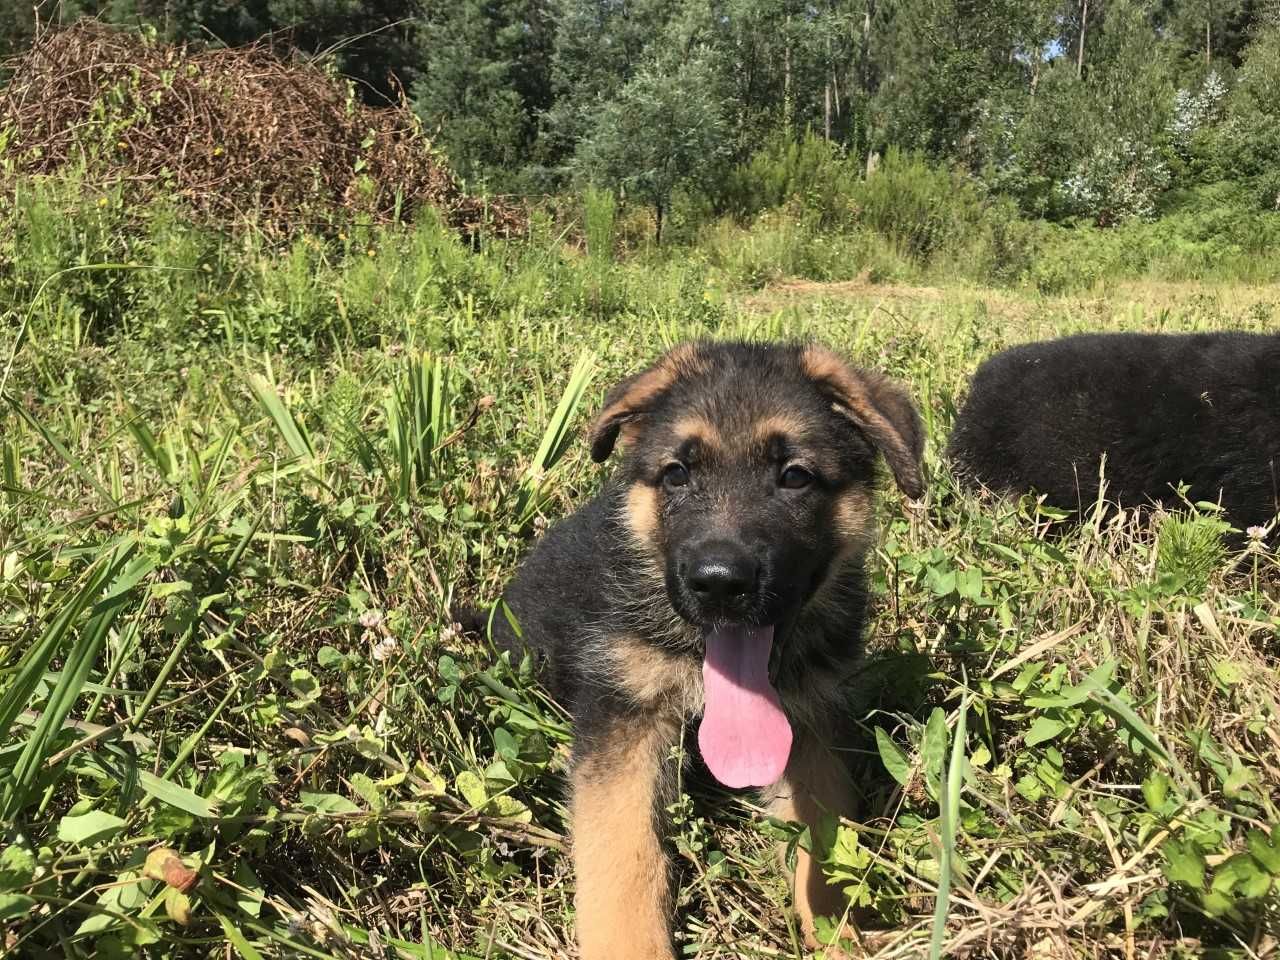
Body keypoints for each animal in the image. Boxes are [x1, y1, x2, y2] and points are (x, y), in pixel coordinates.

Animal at [481, 343, 921, 957]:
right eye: (677, 474)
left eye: (795, 477)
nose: (718, 584)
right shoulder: (625, 718)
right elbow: (625, 856)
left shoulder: (813, 723)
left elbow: (825, 835)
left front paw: (838, 932)